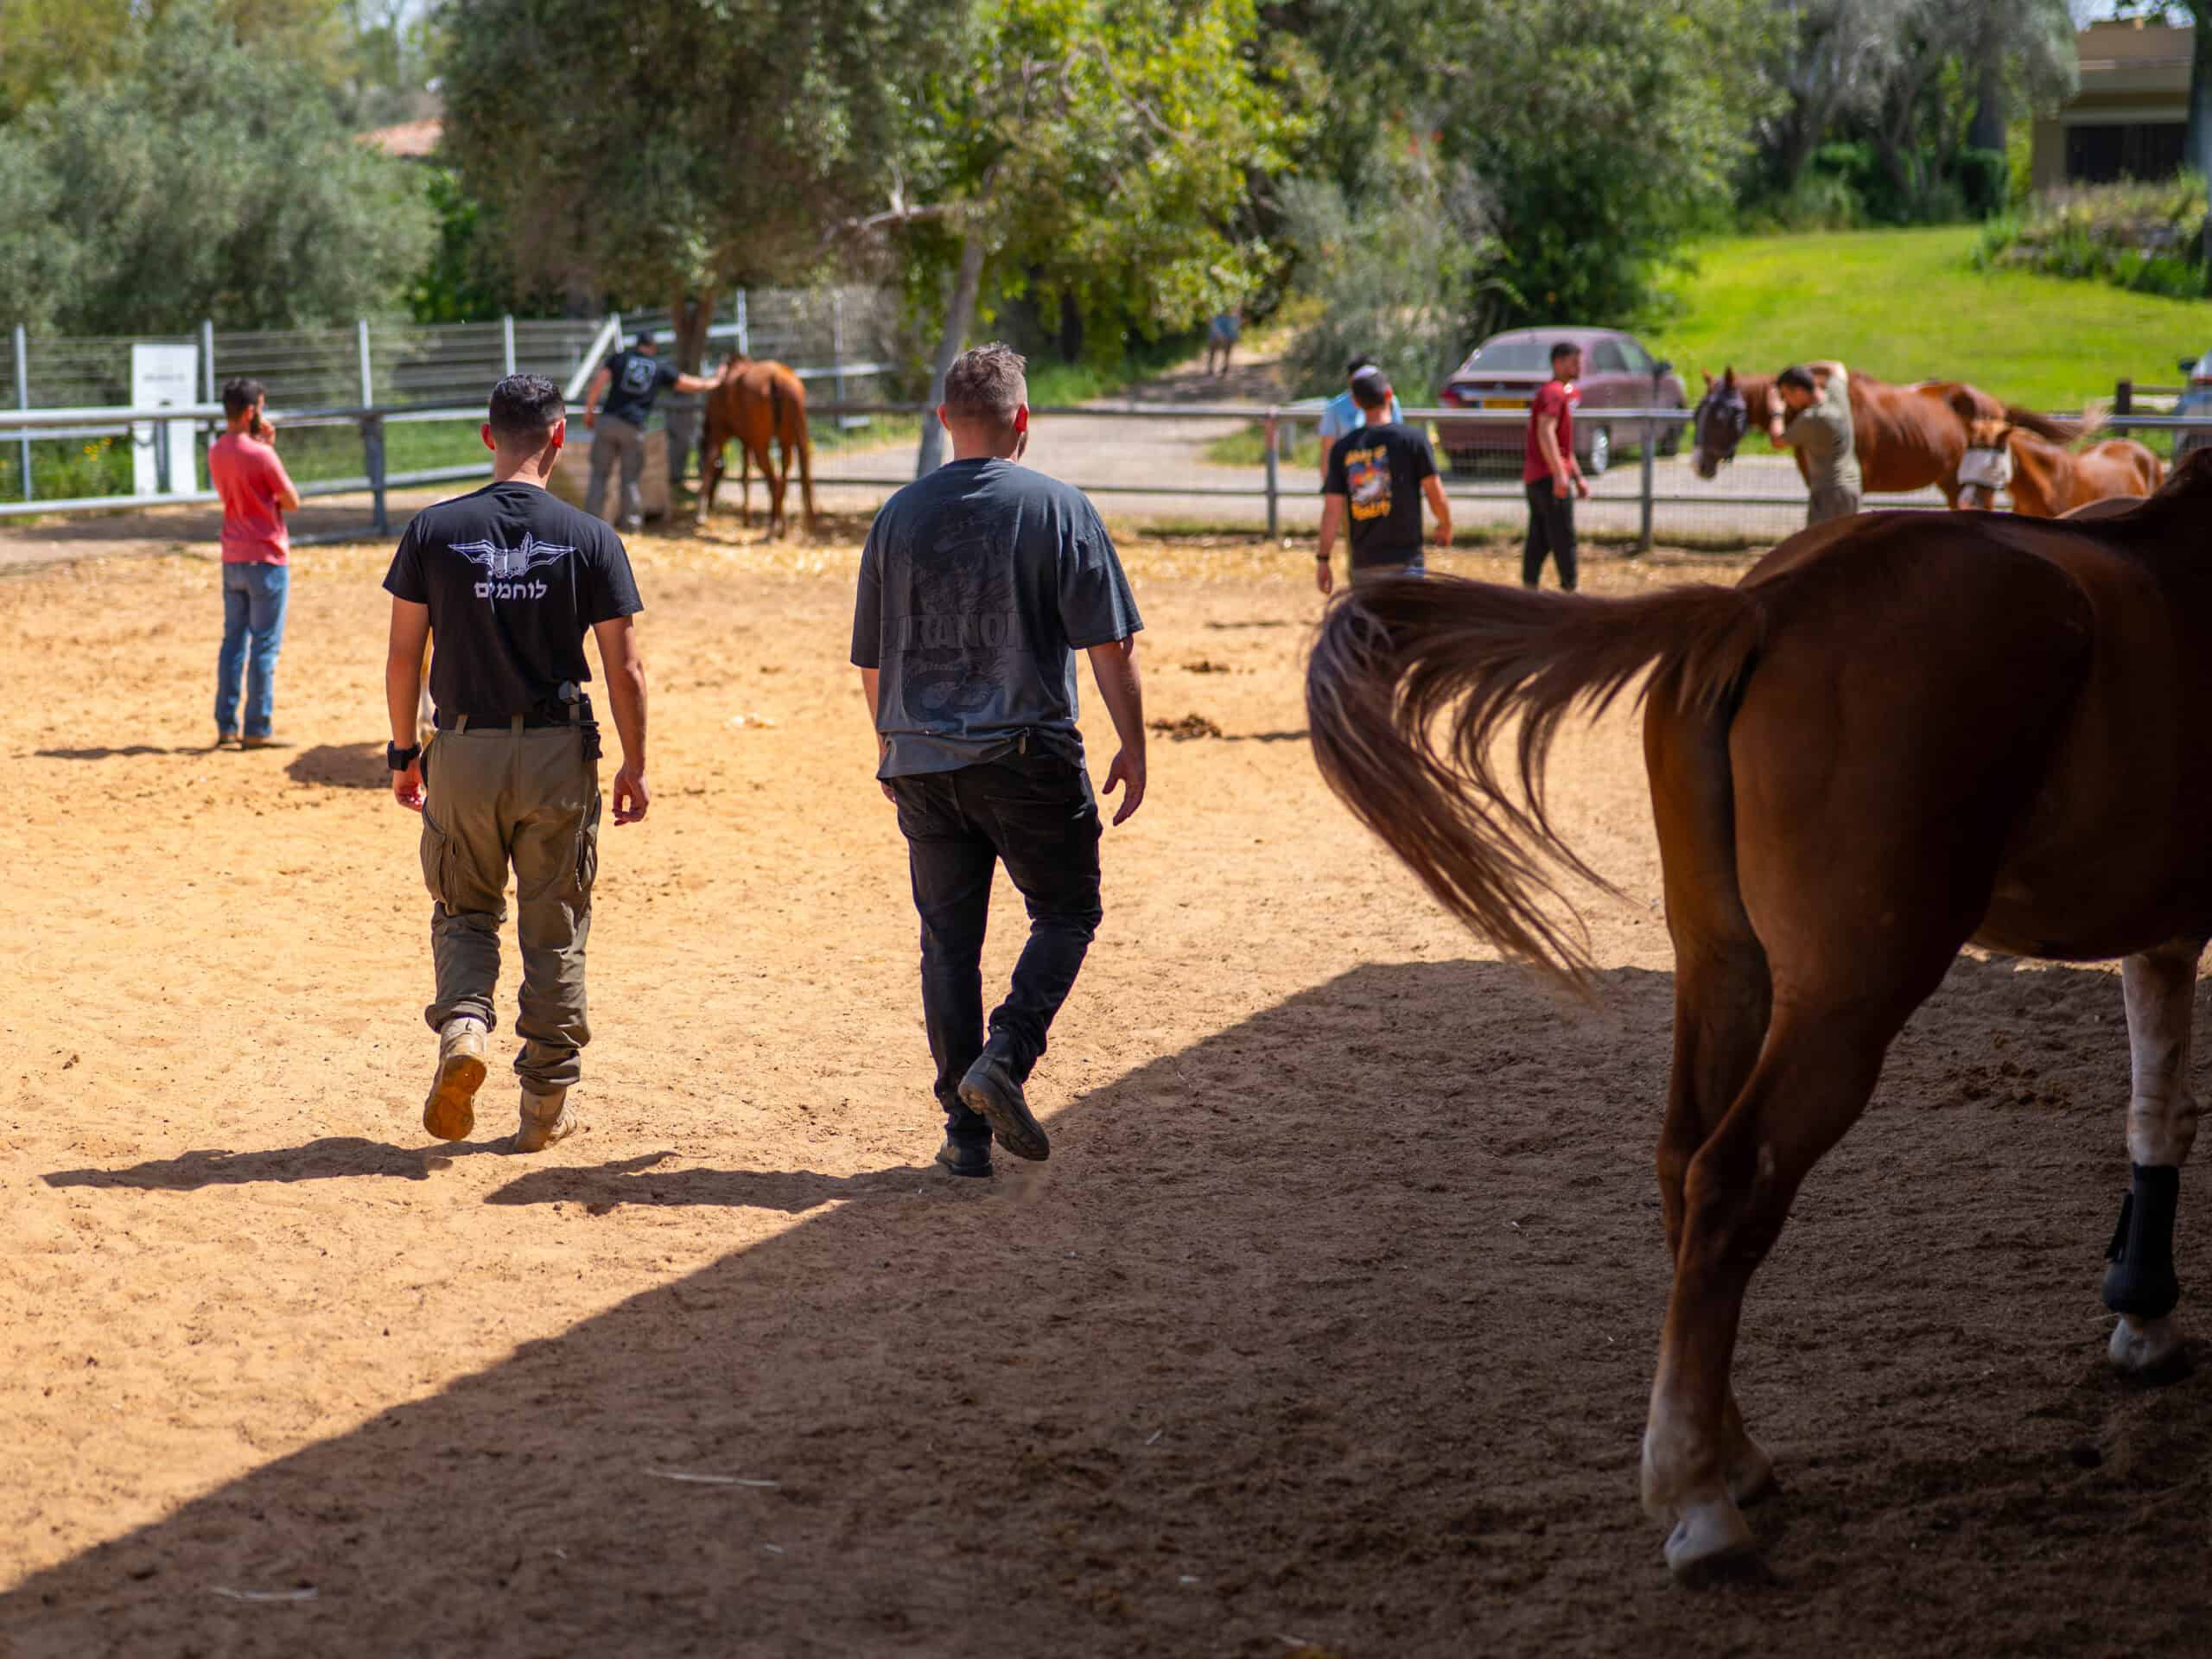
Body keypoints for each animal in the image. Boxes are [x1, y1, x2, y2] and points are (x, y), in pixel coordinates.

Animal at [698, 357, 816, 538]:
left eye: (719, 477)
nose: (711, 502)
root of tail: (777, 378)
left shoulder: (720, 432)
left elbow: (711, 465)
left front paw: (700, 514)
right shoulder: (747, 441)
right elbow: (745, 477)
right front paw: (747, 519)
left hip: (761, 442)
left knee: (774, 481)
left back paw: (774, 528)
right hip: (785, 438)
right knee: (782, 479)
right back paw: (780, 527)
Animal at [1303, 451, 2212, 1581]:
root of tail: (1763, 605)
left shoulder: (2163, 929)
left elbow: (2157, 1110)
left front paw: (2145, 1320)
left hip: (1723, 965)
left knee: (1682, 1163)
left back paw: (1730, 1455)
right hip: (1849, 992)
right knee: (1736, 1177)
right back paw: (1697, 1498)